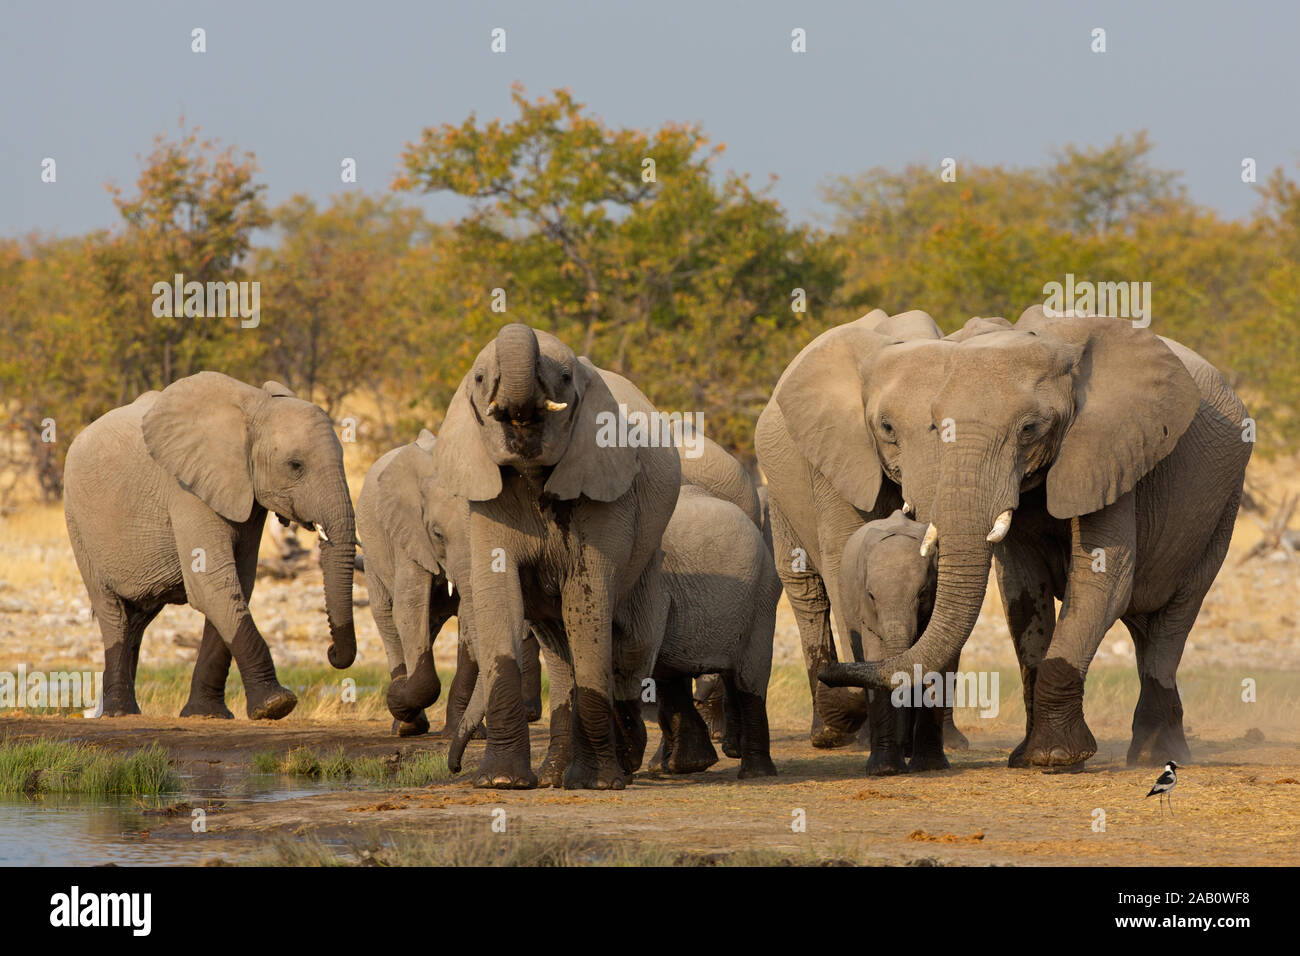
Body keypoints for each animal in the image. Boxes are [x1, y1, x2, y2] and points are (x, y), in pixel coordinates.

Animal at [62, 372, 357, 719]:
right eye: (295, 465)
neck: (253, 408)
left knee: (136, 622)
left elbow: (237, 584)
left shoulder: (246, 497)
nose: (332, 652)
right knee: (112, 613)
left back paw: (127, 710)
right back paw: (120, 713)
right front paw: (276, 705)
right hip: (78, 524)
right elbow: (212, 584)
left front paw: (206, 714)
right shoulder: (187, 491)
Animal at [430, 323, 681, 790]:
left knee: (628, 648)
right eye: (478, 379)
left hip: (649, 559)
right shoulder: (489, 500)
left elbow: (586, 599)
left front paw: (600, 784)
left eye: (565, 378)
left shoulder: (605, 489)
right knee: (561, 654)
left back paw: (623, 760)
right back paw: (552, 776)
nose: (453, 768)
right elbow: (500, 597)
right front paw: (500, 782)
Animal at [755, 308, 947, 747]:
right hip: (781, 492)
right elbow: (844, 553)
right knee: (805, 589)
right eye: (887, 428)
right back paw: (829, 732)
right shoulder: (837, 452)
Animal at [839, 510, 966, 775]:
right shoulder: (866, 612)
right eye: (871, 596)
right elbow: (876, 658)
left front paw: (930, 767)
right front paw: (885, 770)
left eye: (922, 593)